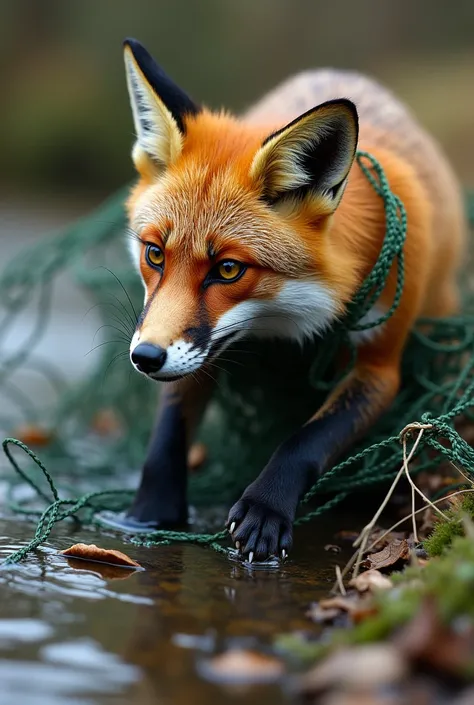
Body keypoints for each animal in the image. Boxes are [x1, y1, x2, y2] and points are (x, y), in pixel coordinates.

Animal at [121, 38, 466, 564]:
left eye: (228, 269)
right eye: (154, 254)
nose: (145, 358)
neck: (284, 321)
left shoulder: (379, 366)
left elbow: (306, 441)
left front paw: (266, 508)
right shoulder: (193, 351)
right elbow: (167, 436)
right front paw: (149, 513)